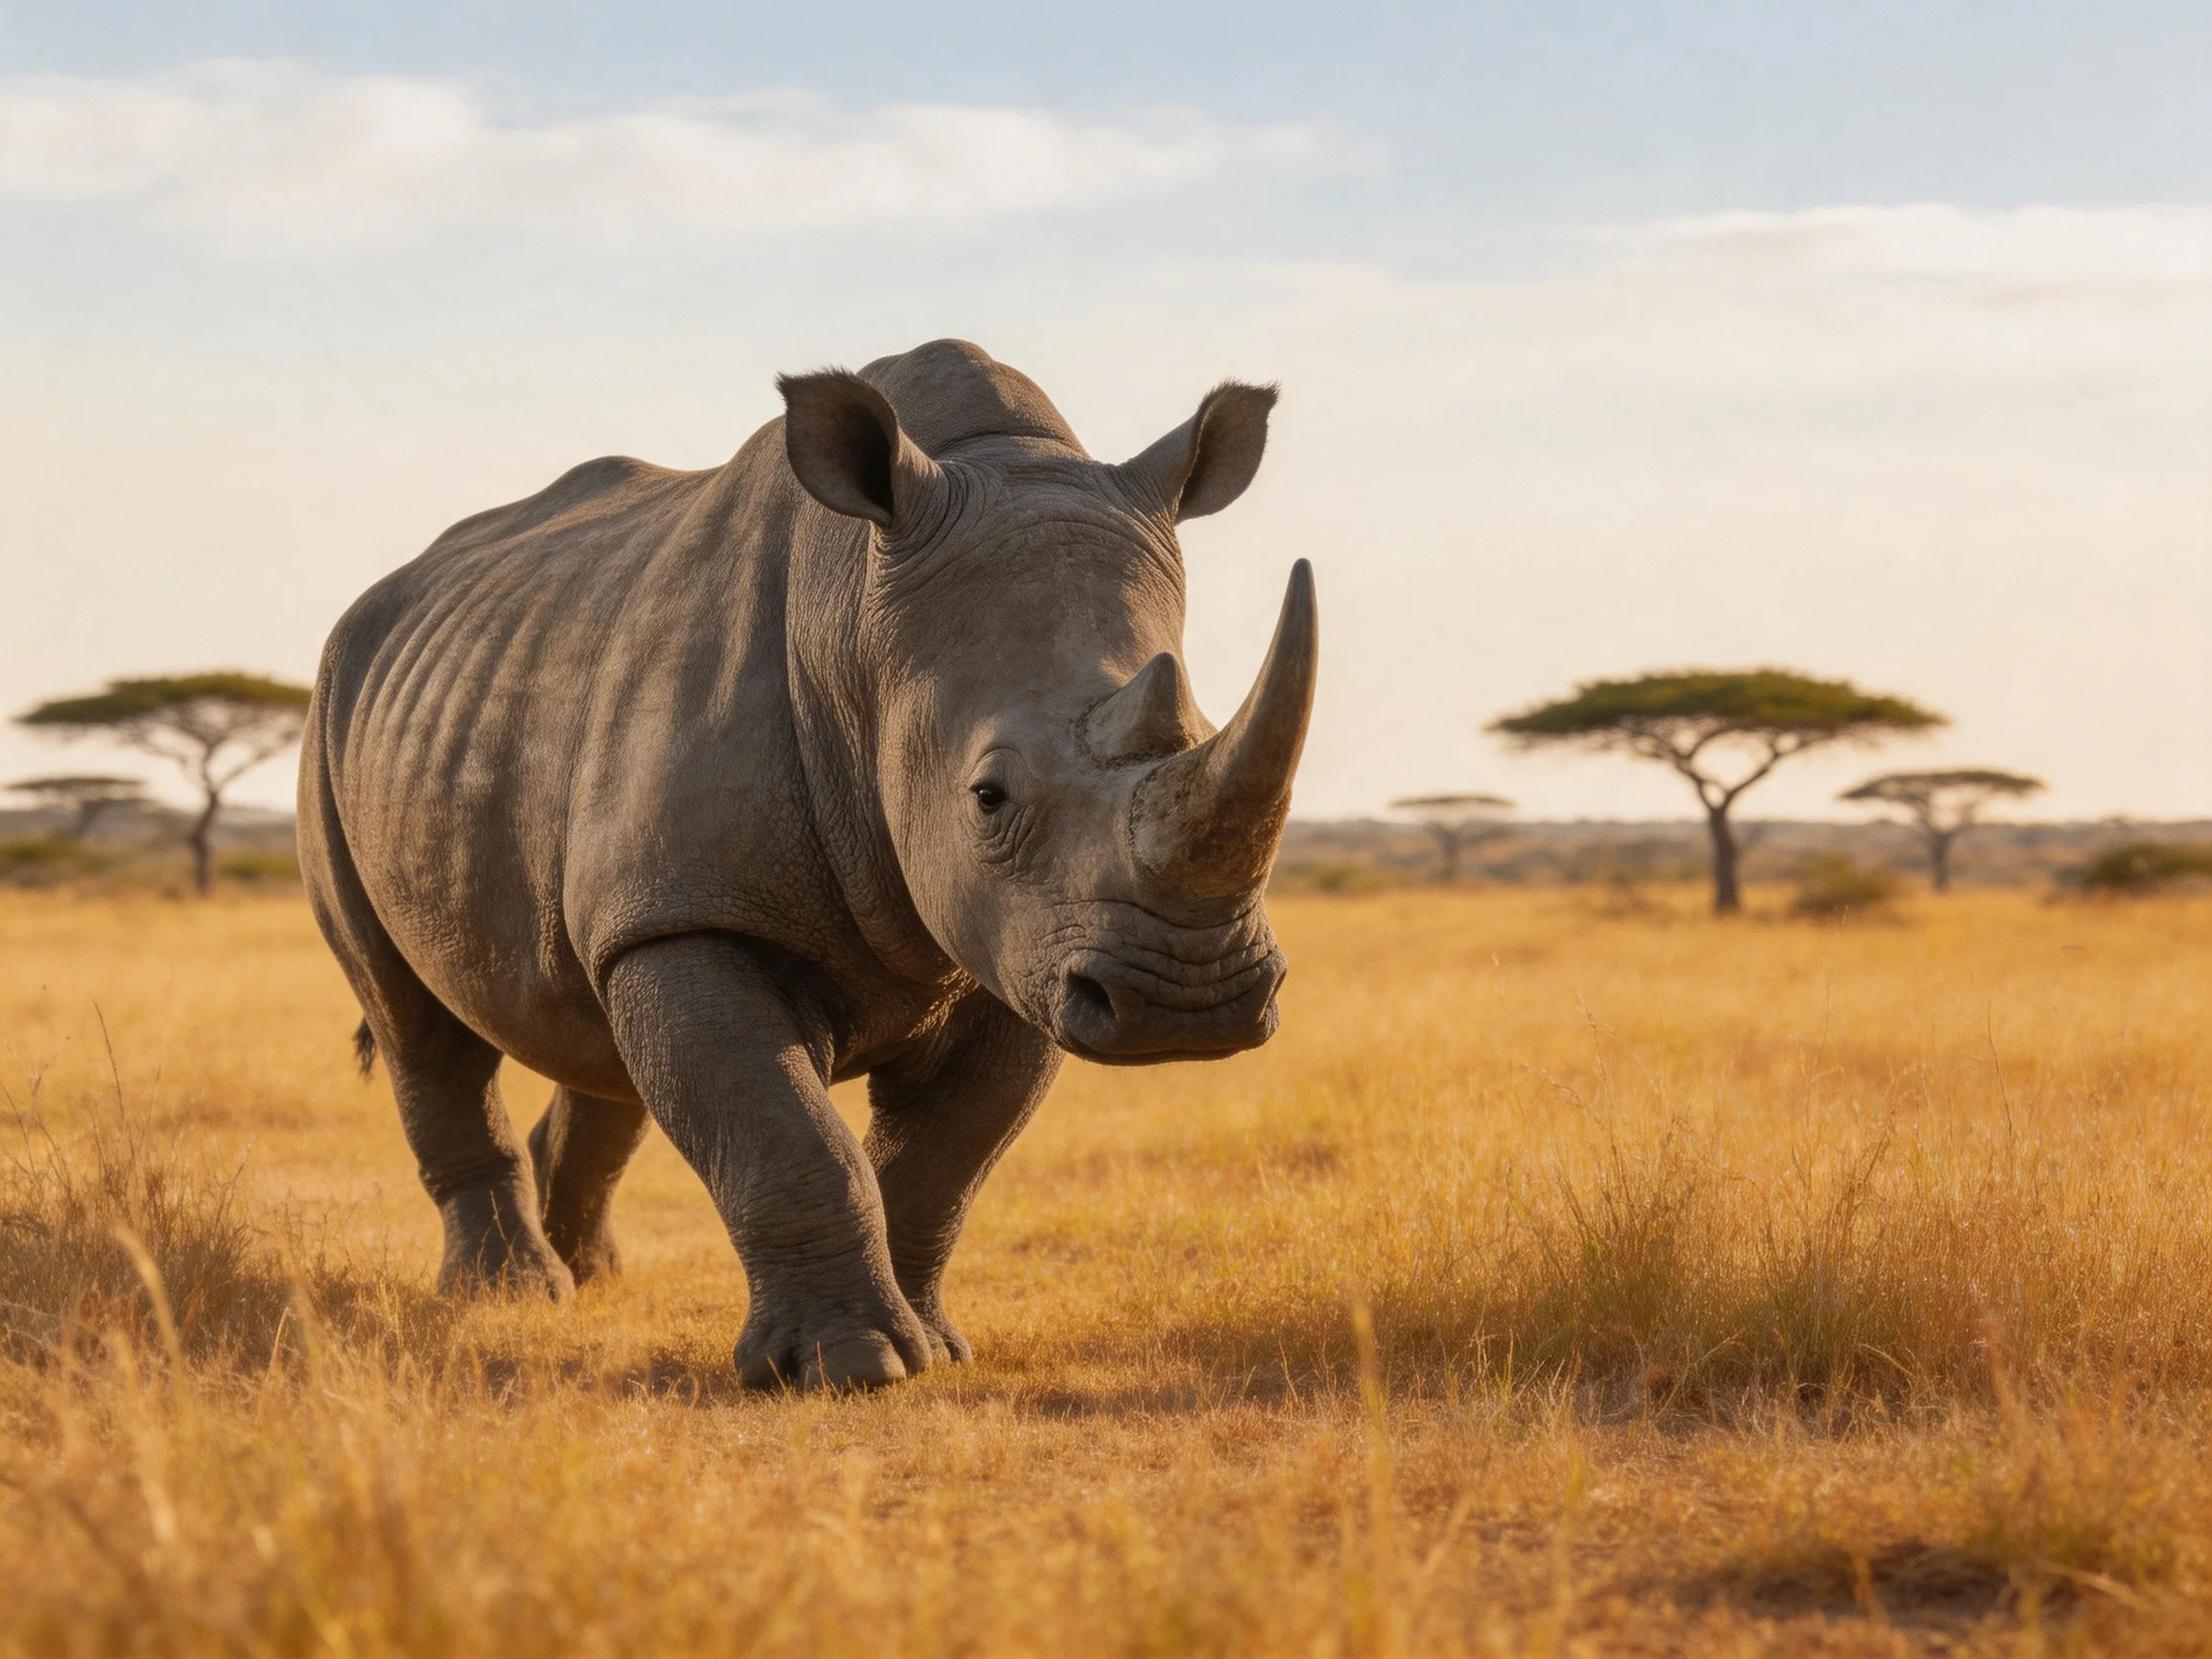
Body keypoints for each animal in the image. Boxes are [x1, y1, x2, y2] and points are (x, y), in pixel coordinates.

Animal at [299, 338, 1317, 1389]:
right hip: (332, 721)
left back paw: (590, 1274)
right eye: (988, 796)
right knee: (419, 1027)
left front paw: (933, 1348)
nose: (1189, 1002)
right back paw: (508, 1297)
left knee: (601, 1030)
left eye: (1201, 729)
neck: (860, 632)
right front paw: (846, 1367)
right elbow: (784, 1135)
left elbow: (943, 1159)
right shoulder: (698, 909)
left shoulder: (1021, 944)